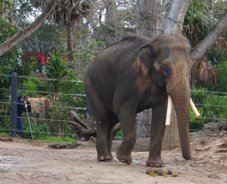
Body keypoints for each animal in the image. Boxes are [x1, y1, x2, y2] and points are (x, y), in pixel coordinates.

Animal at [84, 33, 194, 167]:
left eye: (191, 66)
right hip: (91, 86)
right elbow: (121, 106)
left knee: (112, 119)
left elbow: (161, 114)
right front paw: (123, 159)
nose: (188, 158)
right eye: (165, 67)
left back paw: (109, 157)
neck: (151, 43)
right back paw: (104, 157)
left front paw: (155, 164)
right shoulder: (129, 77)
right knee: (102, 117)